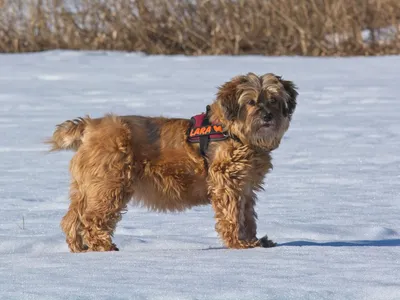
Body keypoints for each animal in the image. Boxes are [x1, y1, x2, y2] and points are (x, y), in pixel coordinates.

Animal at [47, 72, 296, 251]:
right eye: (251, 102)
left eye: (274, 100)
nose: (268, 116)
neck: (234, 133)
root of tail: (90, 126)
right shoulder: (228, 184)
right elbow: (232, 215)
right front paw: (239, 243)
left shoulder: (245, 187)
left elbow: (247, 216)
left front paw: (255, 241)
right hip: (110, 184)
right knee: (92, 219)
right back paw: (103, 246)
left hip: (87, 187)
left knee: (72, 218)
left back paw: (78, 247)